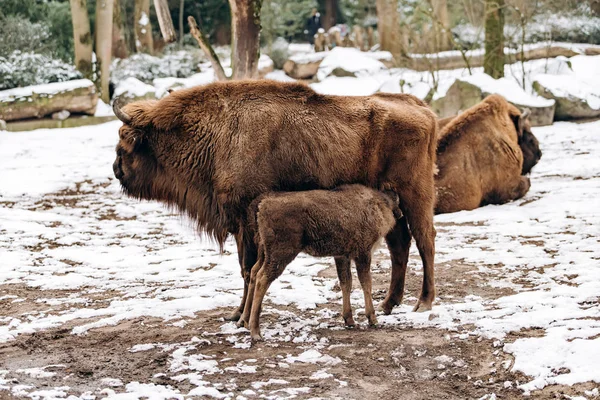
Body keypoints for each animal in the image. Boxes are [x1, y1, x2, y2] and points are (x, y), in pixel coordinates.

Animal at [112, 79, 438, 318]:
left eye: (126, 141)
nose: (116, 170)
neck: (218, 132)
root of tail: (422, 108)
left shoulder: (246, 222)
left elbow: (247, 269)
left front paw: (239, 316)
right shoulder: (242, 226)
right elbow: (247, 269)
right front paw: (238, 314)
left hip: (415, 193)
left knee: (425, 240)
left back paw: (423, 302)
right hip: (393, 200)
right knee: (400, 244)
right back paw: (388, 304)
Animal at [238, 185, 398, 340]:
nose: (400, 213)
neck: (376, 203)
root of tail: (263, 203)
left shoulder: (342, 256)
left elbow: (346, 283)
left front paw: (349, 320)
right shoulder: (363, 254)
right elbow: (366, 284)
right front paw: (372, 319)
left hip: (264, 253)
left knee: (254, 272)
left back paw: (245, 322)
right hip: (280, 255)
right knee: (262, 279)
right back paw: (255, 332)